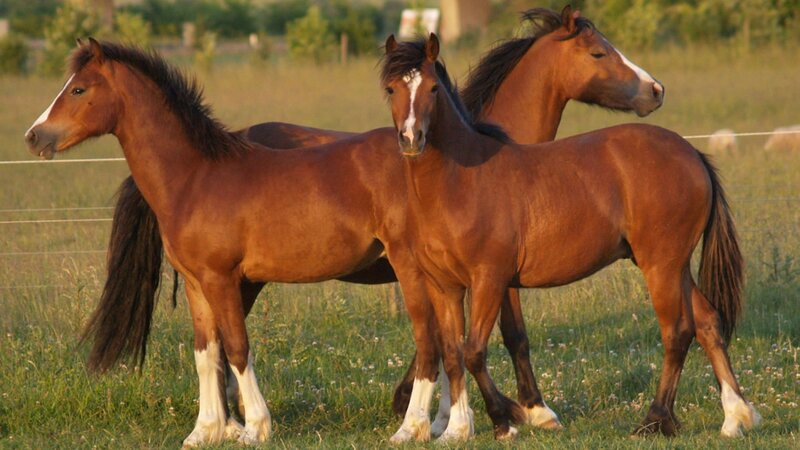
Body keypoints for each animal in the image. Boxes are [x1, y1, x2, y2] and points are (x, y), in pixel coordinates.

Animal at [107, 5, 665, 432]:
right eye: (599, 52)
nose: (656, 90)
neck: (476, 150)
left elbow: (448, 341)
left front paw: (440, 414)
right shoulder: (492, 272)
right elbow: (505, 337)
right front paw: (528, 411)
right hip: (239, 279)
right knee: (224, 345)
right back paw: (236, 424)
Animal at [380, 33, 760, 440]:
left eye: (433, 88)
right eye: (391, 89)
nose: (410, 138)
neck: (459, 182)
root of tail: (691, 152)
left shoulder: (489, 280)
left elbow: (475, 351)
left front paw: (505, 421)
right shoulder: (444, 286)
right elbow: (453, 353)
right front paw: (458, 429)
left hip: (662, 265)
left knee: (677, 331)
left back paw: (656, 419)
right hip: (674, 265)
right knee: (707, 322)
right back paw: (735, 417)